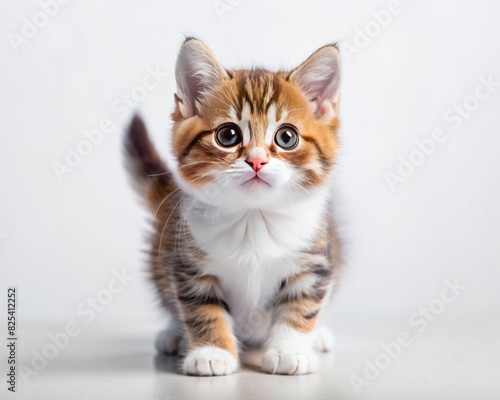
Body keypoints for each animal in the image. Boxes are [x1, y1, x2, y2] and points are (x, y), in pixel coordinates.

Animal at [126, 37, 344, 376]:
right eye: (228, 135)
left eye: (287, 137)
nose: (257, 160)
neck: (253, 218)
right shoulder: (188, 264)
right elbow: (201, 308)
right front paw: (211, 353)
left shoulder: (314, 262)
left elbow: (301, 305)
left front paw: (289, 351)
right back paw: (173, 334)